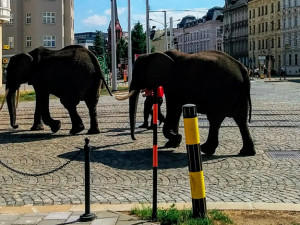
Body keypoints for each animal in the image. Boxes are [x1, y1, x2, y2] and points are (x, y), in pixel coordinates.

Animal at [117, 50, 255, 156]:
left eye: (138, 72)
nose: (134, 139)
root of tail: (243, 69)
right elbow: (176, 112)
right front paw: (173, 142)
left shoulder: (173, 84)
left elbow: (173, 109)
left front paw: (176, 139)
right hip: (239, 94)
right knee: (241, 119)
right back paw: (246, 152)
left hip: (223, 93)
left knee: (215, 120)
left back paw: (205, 149)